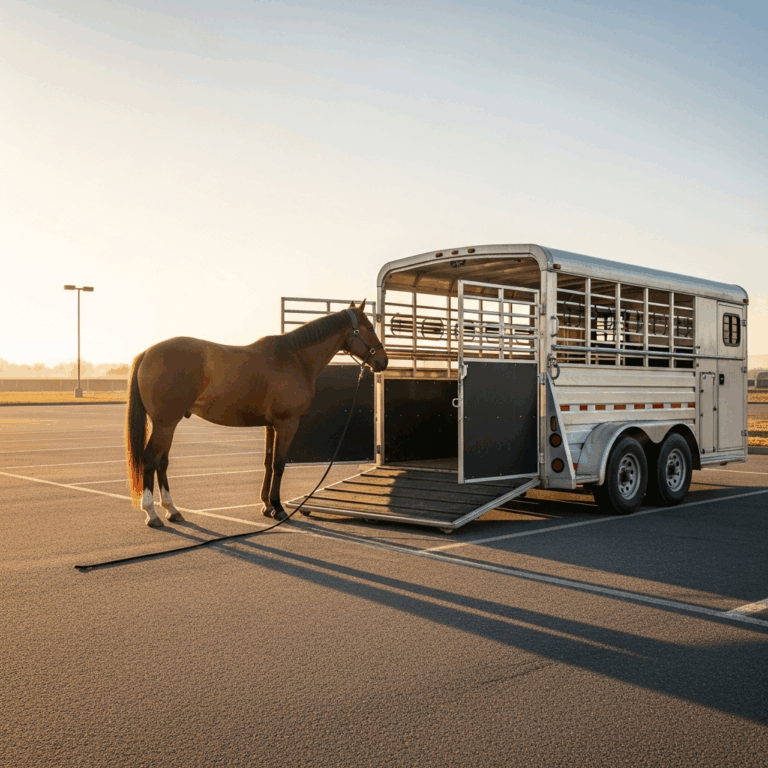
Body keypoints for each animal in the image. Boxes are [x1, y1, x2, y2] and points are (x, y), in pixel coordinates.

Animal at [125, 300, 387, 527]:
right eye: (368, 327)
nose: (383, 361)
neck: (294, 357)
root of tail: (147, 352)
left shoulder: (270, 425)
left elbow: (268, 462)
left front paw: (266, 506)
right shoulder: (286, 424)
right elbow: (279, 464)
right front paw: (278, 508)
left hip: (168, 425)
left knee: (162, 462)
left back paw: (172, 510)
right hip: (165, 424)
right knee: (151, 459)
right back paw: (151, 513)